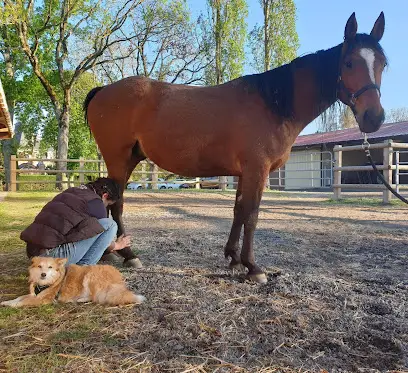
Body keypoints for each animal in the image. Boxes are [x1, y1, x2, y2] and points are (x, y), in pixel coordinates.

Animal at [0, 256, 145, 308]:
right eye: (40, 266)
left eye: (50, 267)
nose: (43, 274)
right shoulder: (33, 294)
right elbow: (19, 297)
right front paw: (7, 302)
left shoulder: (42, 299)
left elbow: (23, 301)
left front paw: (12, 305)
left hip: (90, 276)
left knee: (95, 298)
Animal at [83, 13, 386, 284]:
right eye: (348, 63)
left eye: (383, 63)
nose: (374, 117)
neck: (273, 104)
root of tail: (103, 90)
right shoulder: (257, 170)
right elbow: (251, 214)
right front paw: (253, 267)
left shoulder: (244, 173)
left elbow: (238, 210)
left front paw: (233, 258)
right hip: (118, 159)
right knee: (116, 203)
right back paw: (129, 255)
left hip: (130, 159)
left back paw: (112, 253)